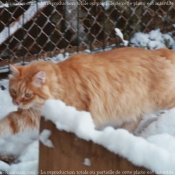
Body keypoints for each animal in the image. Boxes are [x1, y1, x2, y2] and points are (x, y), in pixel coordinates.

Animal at [0, 46, 175, 137]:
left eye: (28, 94)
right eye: (13, 91)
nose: (16, 102)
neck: (61, 83)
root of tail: (159, 50)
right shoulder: (30, 114)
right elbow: (8, 123)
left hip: (163, 99)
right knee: (134, 120)